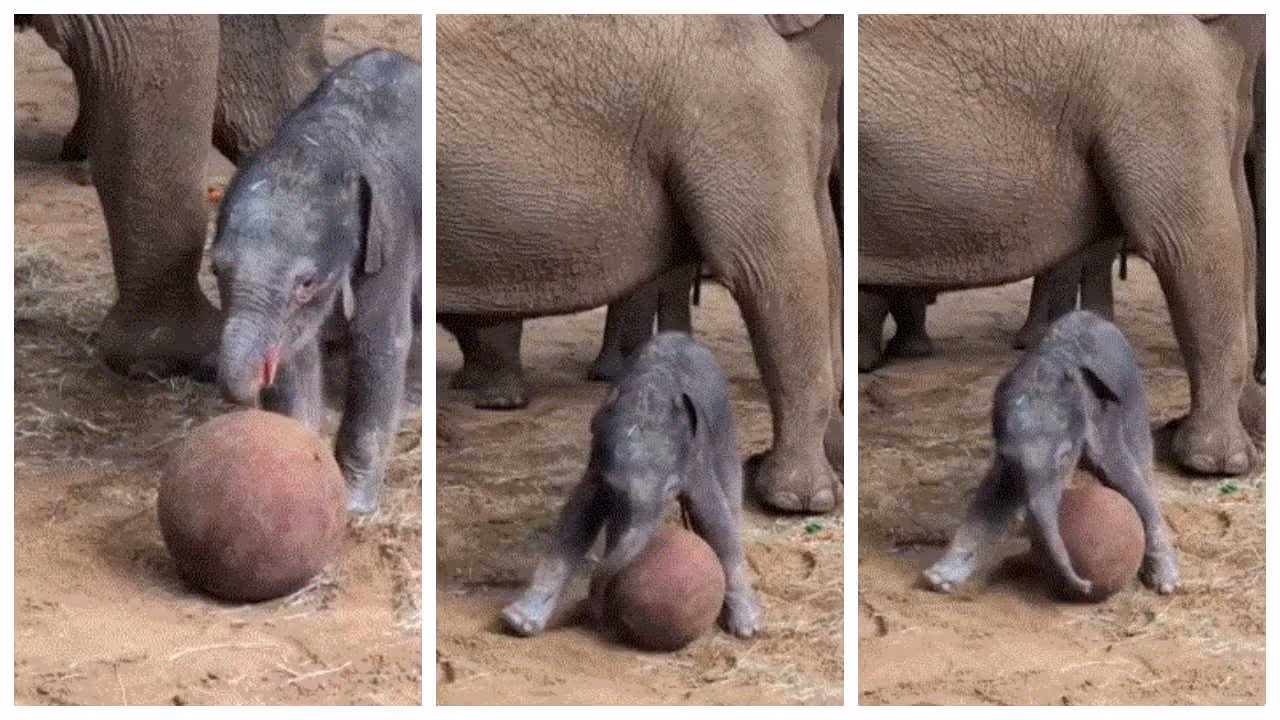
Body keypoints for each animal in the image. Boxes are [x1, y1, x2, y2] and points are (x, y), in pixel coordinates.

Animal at [214, 49, 422, 515]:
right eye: (218, 269)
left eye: (307, 283)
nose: (255, 379)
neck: (323, 142)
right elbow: (295, 355)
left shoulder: (392, 235)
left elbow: (379, 342)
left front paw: (356, 508)